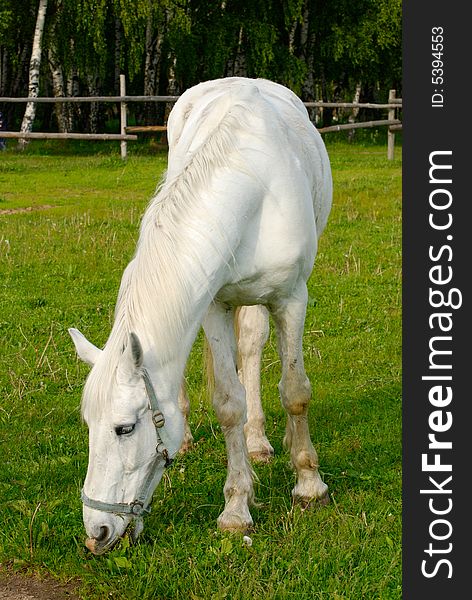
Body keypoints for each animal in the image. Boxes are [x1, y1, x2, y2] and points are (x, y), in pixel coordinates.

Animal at [70, 77, 334, 556]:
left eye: (123, 428)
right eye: (88, 425)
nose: (97, 532)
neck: (253, 188)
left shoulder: (291, 299)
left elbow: (295, 392)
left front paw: (309, 485)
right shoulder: (214, 304)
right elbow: (229, 404)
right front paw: (236, 508)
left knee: (253, 347)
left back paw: (263, 440)